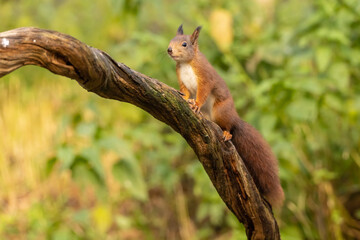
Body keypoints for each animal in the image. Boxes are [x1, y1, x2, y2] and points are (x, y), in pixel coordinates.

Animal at [167, 24, 284, 208]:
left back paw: (227, 132)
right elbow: (185, 91)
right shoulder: (181, 79)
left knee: (229, 126)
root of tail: (235, 118)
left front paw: (196, 103)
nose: (169, 50)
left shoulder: (205, 77)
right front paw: (185, 98)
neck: (186, 63)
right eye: (172, 40)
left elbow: (203, 91)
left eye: (184, 44)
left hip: (221, 111)